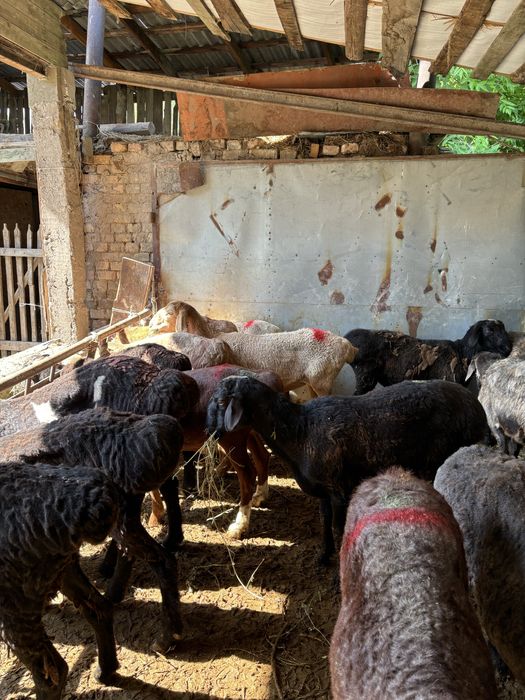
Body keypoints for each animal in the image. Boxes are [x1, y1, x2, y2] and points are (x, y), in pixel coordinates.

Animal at [207, 376, 488, 563]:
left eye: (220, 402)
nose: (209, 430)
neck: (299, 430)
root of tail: (478, 409)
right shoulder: (323, 491)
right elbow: (324, 522)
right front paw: (323, 556)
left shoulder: (339, 491)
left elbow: (338, 528)